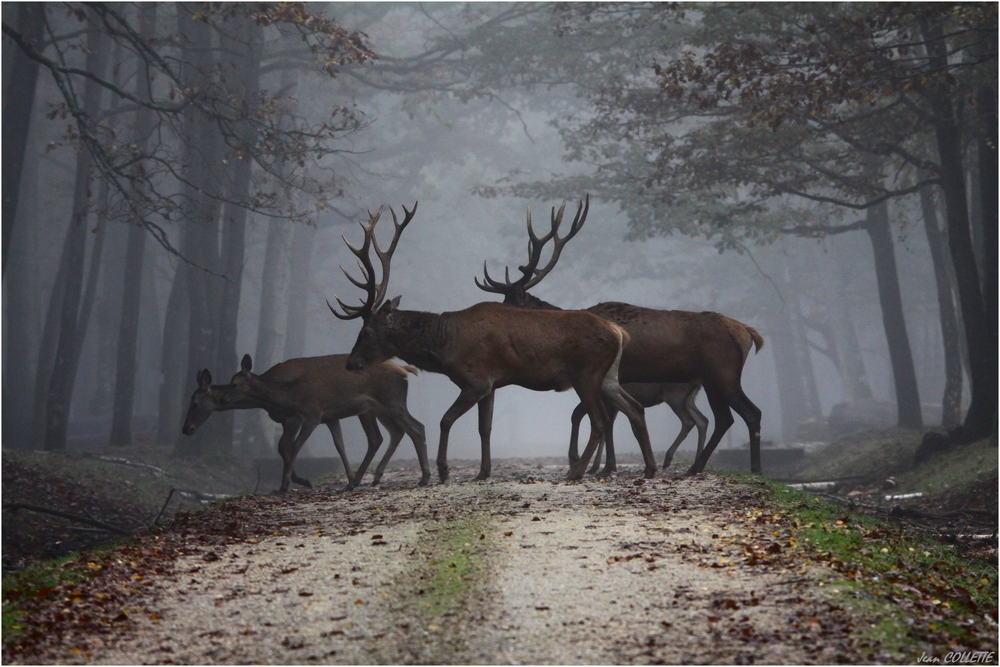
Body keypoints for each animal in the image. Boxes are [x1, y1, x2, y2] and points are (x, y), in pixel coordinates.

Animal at [184, 354, 430, 490]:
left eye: (194, 403)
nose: (186, 429)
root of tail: (404, 369)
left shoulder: (303, 417)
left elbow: (288, 447)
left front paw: (291, 483)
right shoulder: (327, 417)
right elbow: (338, 445)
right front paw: (348, 479)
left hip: (385, 404)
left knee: (411, 429)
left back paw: (424, 477)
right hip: (378, 408)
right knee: (393, 433)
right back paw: (371, 478)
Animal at [330, 201, 656, 482]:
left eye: (366, 332)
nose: (351, 363)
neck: (446, 345)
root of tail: (619, 332)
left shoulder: (477, 380)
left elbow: (446, 419)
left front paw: (444, 470)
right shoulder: (492, 384)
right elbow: (483, 428)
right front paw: (483, 472)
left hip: (585, 373)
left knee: (600, 420)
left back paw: (576, 472)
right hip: (608, 376)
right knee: (634, 408)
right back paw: (650, 468)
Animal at [476, 196, 764, 478]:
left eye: (511, 303)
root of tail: (747, 333)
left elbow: (601, 419)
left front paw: (597, 466)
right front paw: (605, 466)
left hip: (723, 372)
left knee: (747, 413)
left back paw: (747, 468)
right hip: (711, 379)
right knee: (726, 418)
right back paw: (701, 466)